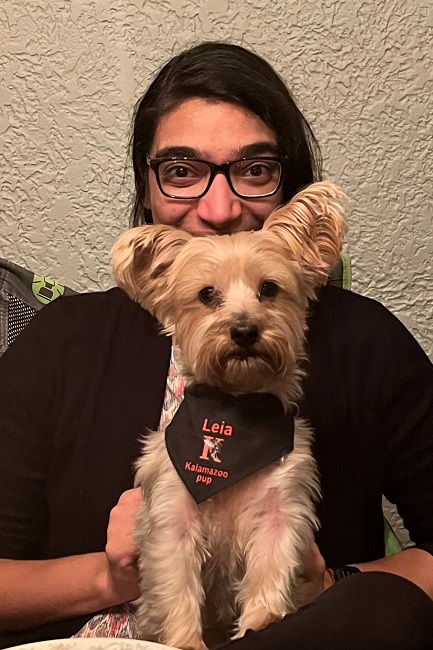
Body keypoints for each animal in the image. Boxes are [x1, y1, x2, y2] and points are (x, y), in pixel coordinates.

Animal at [112, 181, 348, 648]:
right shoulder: (173, 517)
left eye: (269, 289)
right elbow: (177, 585)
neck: (235, 410)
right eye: (206, 294)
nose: (244, 330)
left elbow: (271, 566)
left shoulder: (281, 511)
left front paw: (263, 621)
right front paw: (184, 640)